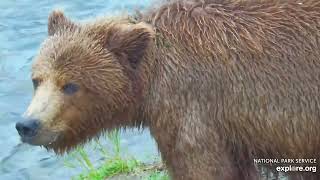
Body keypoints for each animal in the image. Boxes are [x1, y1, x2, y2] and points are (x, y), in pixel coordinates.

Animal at [16, 0, 320, 180]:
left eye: (70, 85)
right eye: (36, 79)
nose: (27, 125)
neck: (149, 77)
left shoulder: (190, 109)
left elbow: (204, 168)